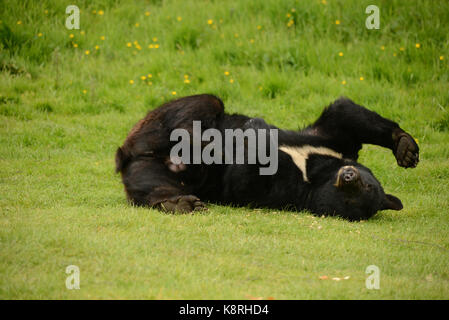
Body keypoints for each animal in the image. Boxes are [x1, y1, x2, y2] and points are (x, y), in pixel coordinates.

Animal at [114, 94, 416, 221]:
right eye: (368, 183)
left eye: (354, 197)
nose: (349, 176)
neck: (314, 173)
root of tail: (130, 154)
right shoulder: (330, 143)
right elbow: (345, 117)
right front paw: (405, 147)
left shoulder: (282, 188)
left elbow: (245, 175)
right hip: (158, 124)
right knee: (204, 105)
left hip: (151, 169)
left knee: (153, 186)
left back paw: (179, 202)